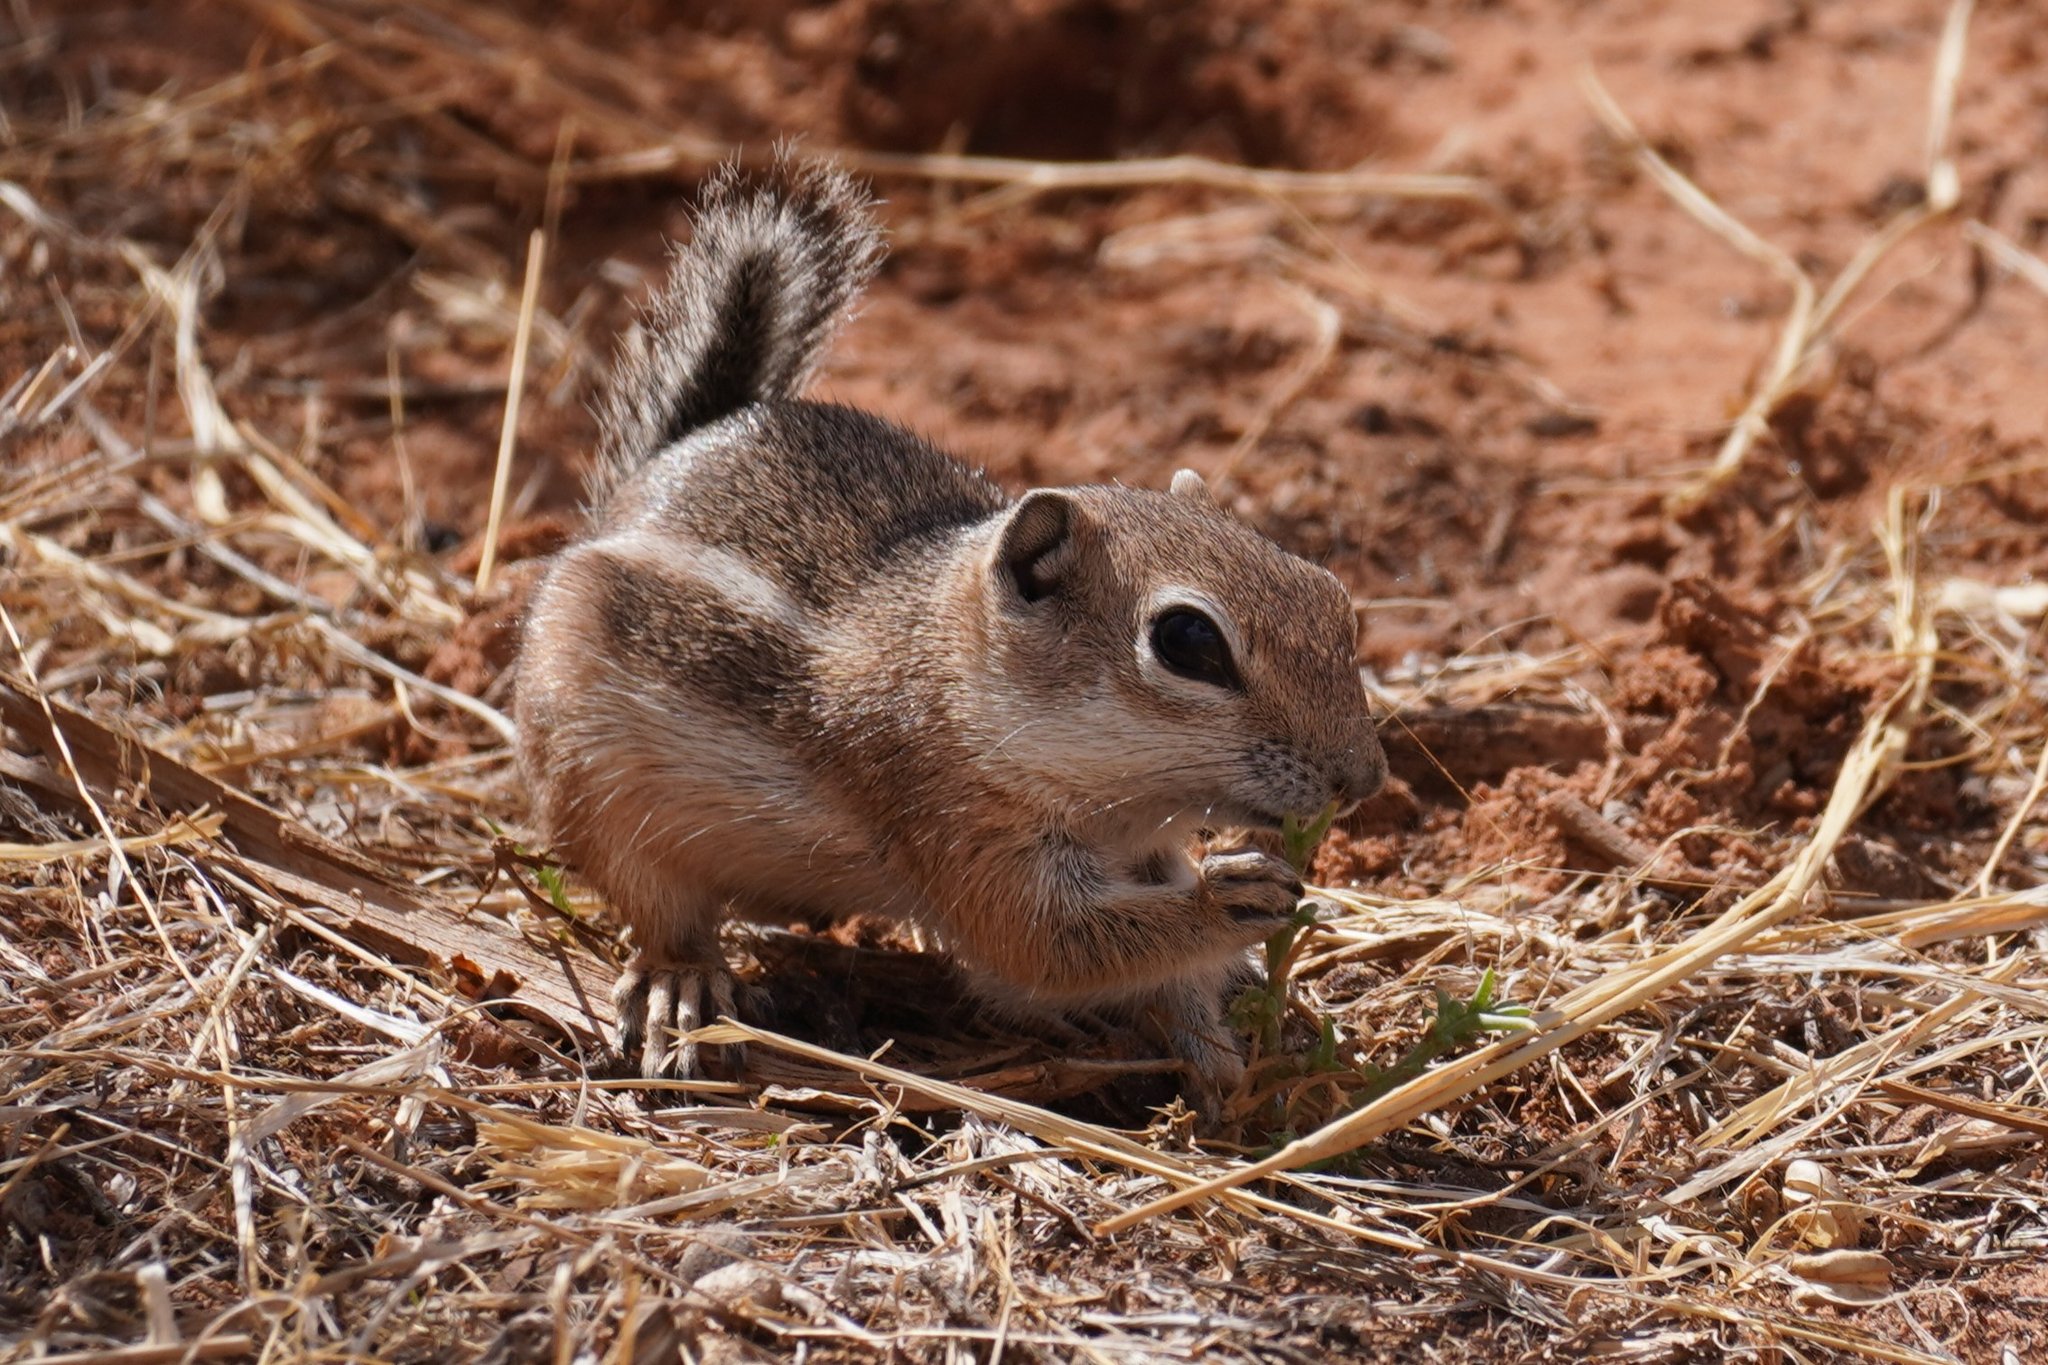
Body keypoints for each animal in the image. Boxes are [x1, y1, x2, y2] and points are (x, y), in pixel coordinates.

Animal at [514, 157, 1386, 1116]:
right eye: (1189, 642)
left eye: (1331, 596)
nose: (1364, 778)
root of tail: (656, 466)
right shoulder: (956, 824)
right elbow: (1046, 942)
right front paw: (1231, 900)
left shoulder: (1143, 846)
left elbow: (1154, 975)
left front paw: (1214, 1051)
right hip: (597, 787)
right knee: (660, 913)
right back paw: (684, 983)